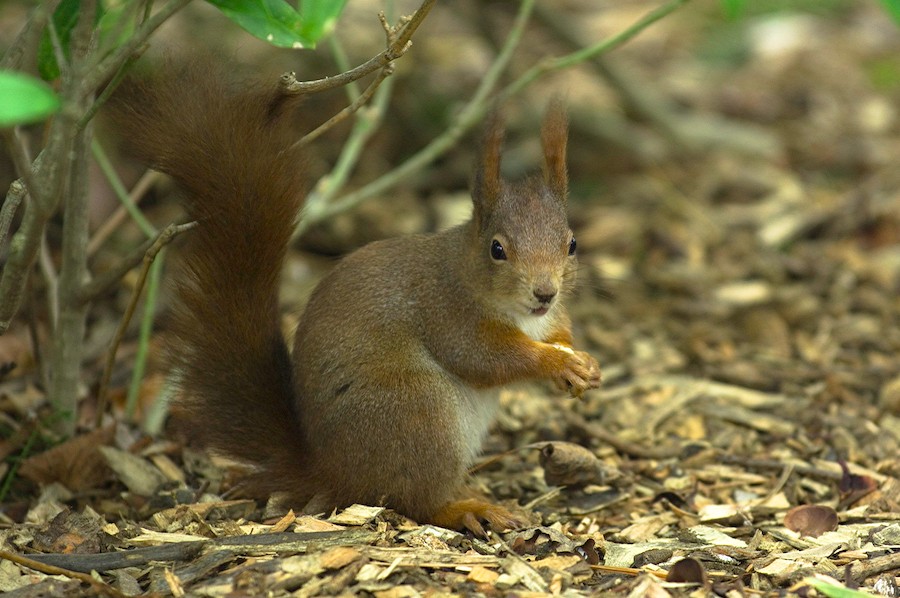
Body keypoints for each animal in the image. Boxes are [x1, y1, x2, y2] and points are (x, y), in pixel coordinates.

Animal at [114, 63, 604, 536]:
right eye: (497, 249)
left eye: (572, 243)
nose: (545, 292)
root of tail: (330, 470)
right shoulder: (446, 312)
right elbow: (484, 357)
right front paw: (555, 363)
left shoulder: (544, 318)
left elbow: (558, 332)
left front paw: (583, 364)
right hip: (417, 411)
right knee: (416, 500)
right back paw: (469, 508)